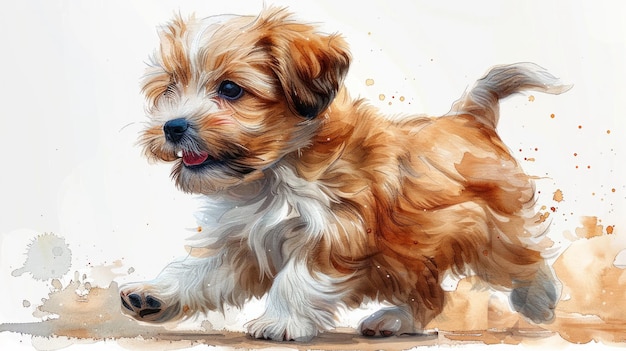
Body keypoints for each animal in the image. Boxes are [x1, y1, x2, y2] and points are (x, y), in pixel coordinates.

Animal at [119, 6, 568, 342]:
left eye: (230, 90)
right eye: (170, 89)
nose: (172, 127)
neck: (275, 170)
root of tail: (470, 118)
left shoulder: (335, 227)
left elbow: (297, 277)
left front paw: (280, 322)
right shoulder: (242, 241)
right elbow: (201, 272)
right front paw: (155, 296)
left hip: (488, 227)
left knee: (522, 256)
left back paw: (539, 300)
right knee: (429, 294)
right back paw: (396, 320)